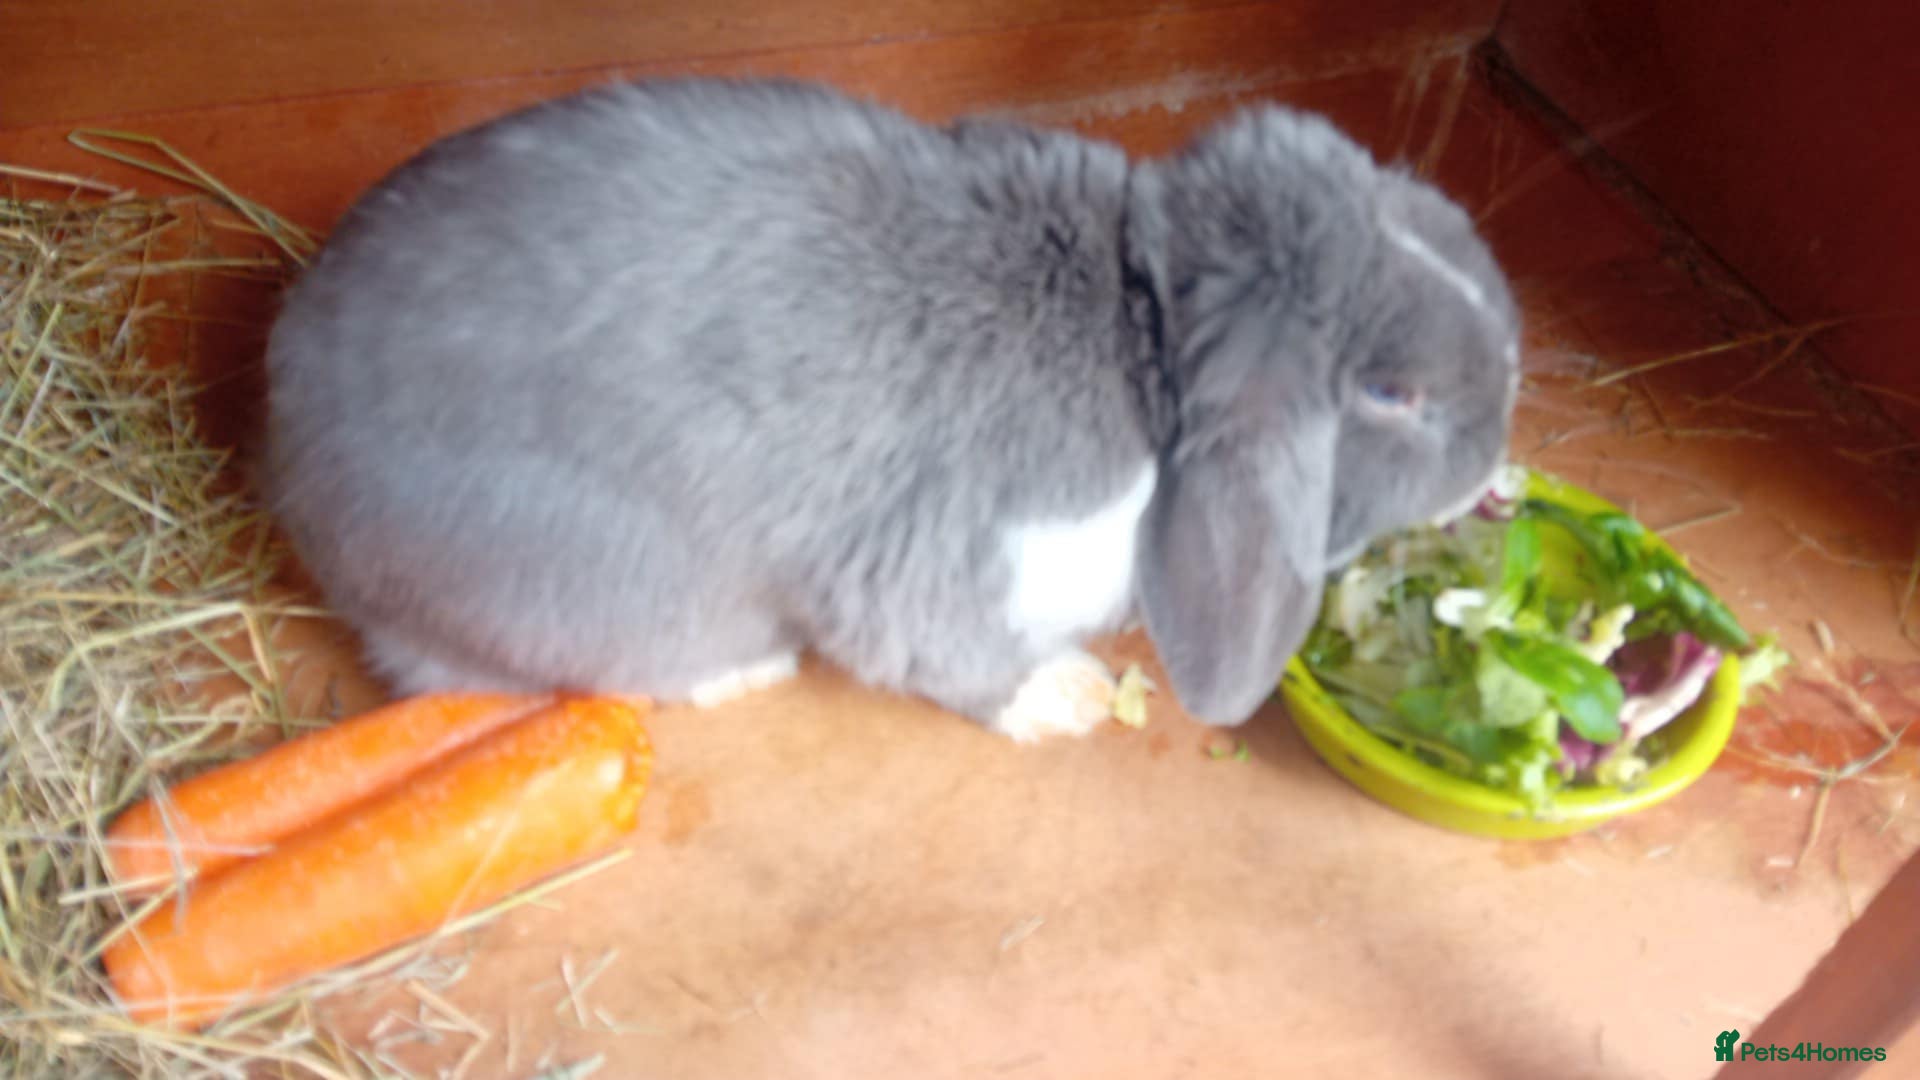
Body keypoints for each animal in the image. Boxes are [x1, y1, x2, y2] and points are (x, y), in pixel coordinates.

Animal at [262, 76, 1520, 742]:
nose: (1506, 405)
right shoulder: (952, 566)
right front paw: (1066, 698)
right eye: (1390, 394)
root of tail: (282, 436)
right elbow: (954, 657)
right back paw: (740, 672)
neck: (1142, 331)